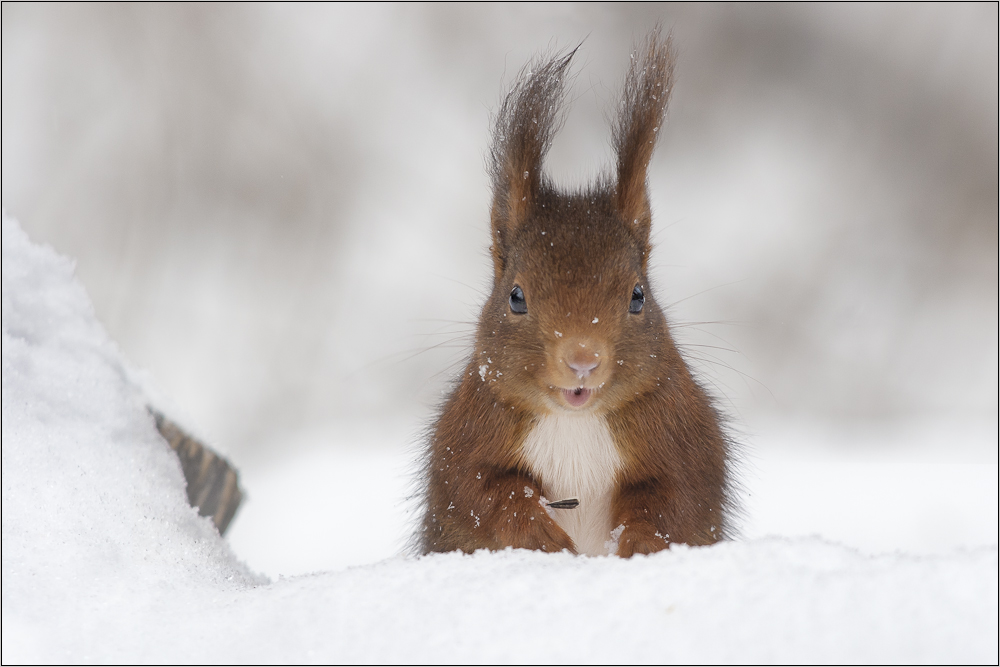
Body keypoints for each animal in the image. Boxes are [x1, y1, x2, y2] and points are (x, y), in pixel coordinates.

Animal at [416, 35, 736, 560]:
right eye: (516, 297)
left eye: (637, 296)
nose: (583, 359)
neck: (575, 420)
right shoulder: (462, 440)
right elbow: (481, 492)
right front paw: (540, 533)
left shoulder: (688, 440)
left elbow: (676, 498)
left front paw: (638, 542)